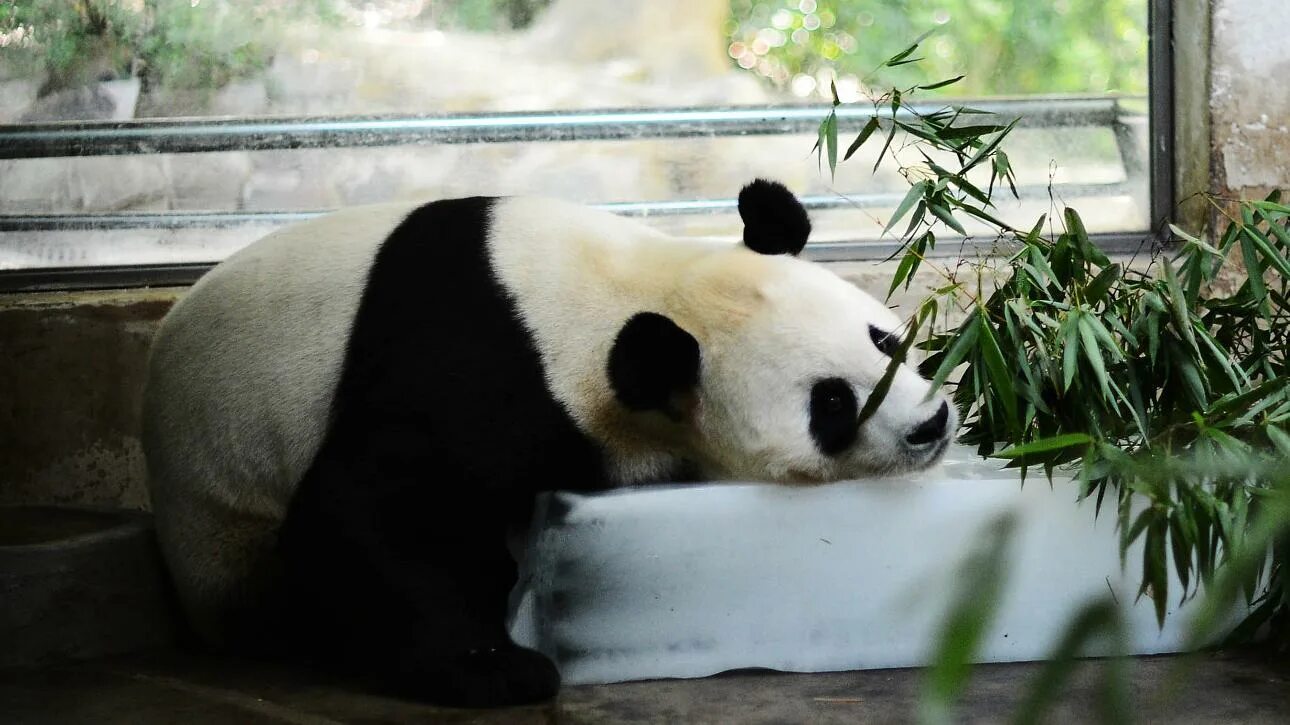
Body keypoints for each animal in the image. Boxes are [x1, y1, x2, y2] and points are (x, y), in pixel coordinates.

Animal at [143, 178, 959, 701]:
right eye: (833, 403)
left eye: (884, 338)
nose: (931, 424)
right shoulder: (479, 372)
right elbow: (358, 512)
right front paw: (499, 670)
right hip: (225, 529)